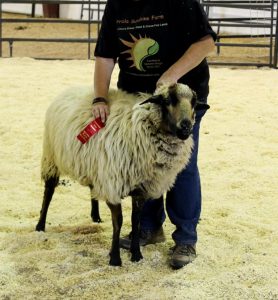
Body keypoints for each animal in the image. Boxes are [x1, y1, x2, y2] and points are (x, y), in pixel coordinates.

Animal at [35, 83, 208, 266]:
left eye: (194, 103)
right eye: (167, 101)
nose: (186, 127)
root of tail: (70, 89)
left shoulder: (140, 188)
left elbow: (135, 221)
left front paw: (136, 253)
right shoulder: (113, 185)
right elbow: (118, 222)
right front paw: (115, 258)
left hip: (93, 167)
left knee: (92, 189)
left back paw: (95, 216)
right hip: (51, 157)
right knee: (49, 191)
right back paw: (40, 225)